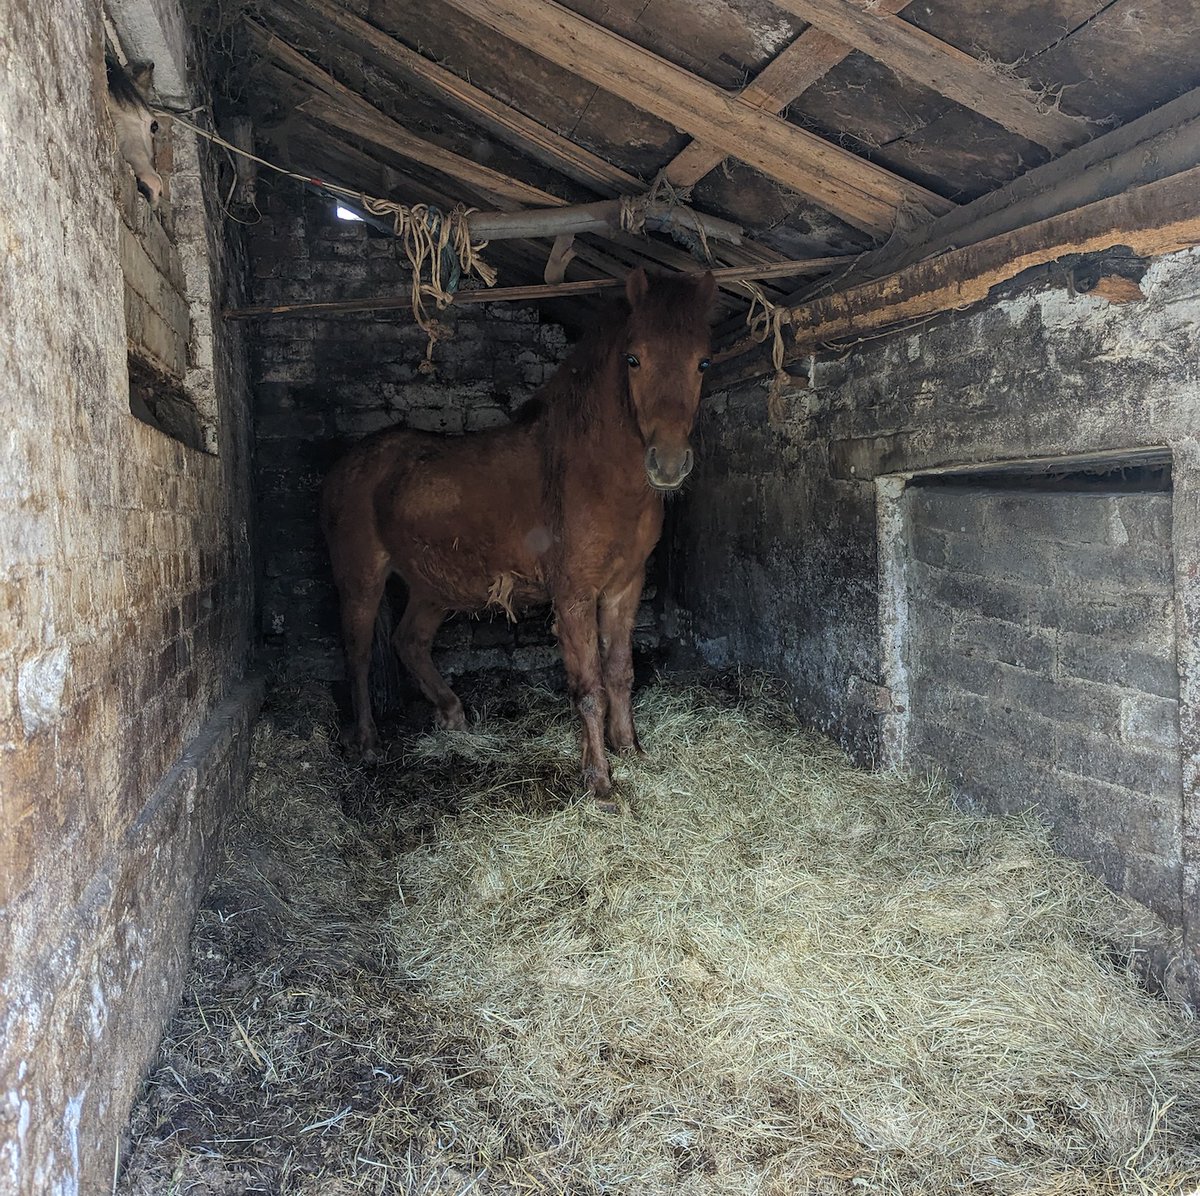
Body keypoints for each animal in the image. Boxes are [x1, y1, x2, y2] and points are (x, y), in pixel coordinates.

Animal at [320, 267, 716, 805]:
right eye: (634, 358)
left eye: (703, 362)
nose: (669, 464)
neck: (595, 473)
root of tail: (350, 464)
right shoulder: (573, 594)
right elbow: (589, 687)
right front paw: (600, 782)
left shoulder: (624, 588)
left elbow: (620, 672)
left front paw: (631, 750)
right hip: (361, 579)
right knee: (359, 654)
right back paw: (366, 742)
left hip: (432, 587)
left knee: (409, 642)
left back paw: (453, 716)